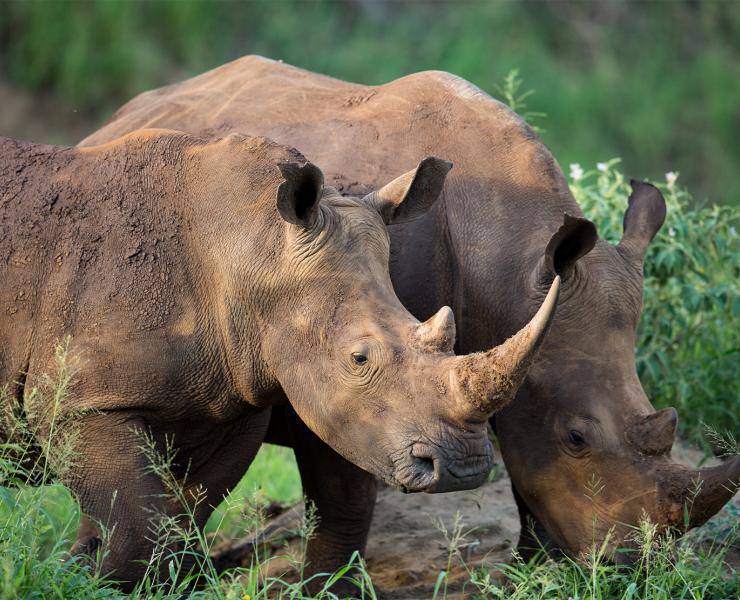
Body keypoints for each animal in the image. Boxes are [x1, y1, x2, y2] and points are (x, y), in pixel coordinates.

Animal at [0, 129, 556, 588]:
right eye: (358, 359)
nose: (464, 468)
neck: (249, 247)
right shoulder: (82, 404)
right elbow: (137, 527)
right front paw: (94, 582)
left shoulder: (228, 396)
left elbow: (179, 522)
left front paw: (92, 576)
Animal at [82, 58, 740, 576]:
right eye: (576, 437)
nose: (636, 566)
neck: (506, 262)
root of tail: (109, 123)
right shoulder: (342, 376)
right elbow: (346, 495)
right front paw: (330, 586)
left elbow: (527, 476)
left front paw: (535, 572)